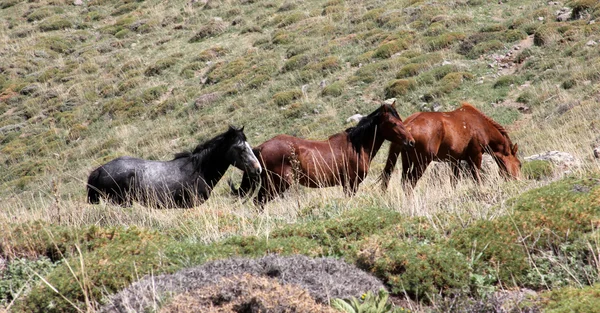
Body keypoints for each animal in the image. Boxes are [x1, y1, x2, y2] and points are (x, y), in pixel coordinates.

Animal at [232, 102, 414, 205]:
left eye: (400, 119)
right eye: (393, 123)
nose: (411, 141)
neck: (357, 146)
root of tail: (261, 147)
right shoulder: (351, 184)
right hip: (276, 185)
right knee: (259, 202)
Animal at [384, 101, 520, 189]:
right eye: (520, 164)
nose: (518, 180)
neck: (481, 125)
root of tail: (408, 125)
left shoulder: (455, 160)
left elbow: (454, 181)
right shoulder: (475, 156)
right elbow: (477, 177)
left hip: (407, 161)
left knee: (404, 182)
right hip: (422, 162)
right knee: (411, 182)